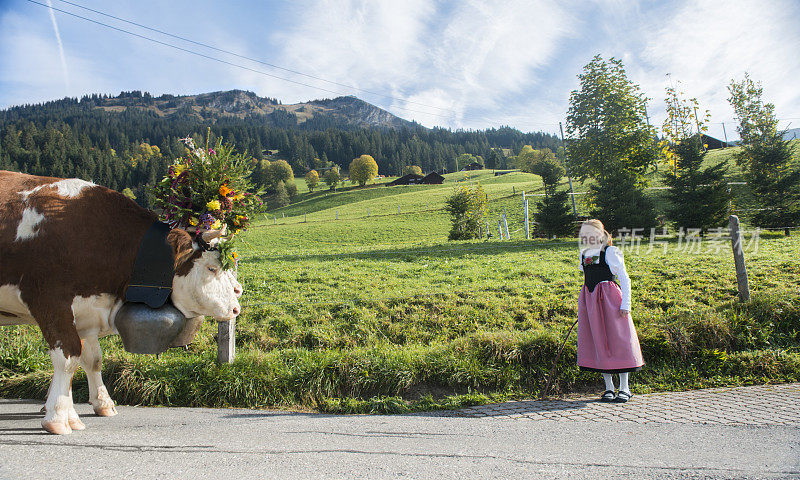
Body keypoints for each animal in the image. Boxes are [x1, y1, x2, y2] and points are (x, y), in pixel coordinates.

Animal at [0, 171, 244, 434]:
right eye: (212, 268)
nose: (236, 304)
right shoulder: (51, 302)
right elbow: (68, 358)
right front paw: (57, 418)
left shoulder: (86, 311)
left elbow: (91, 359)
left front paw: (88, 409)